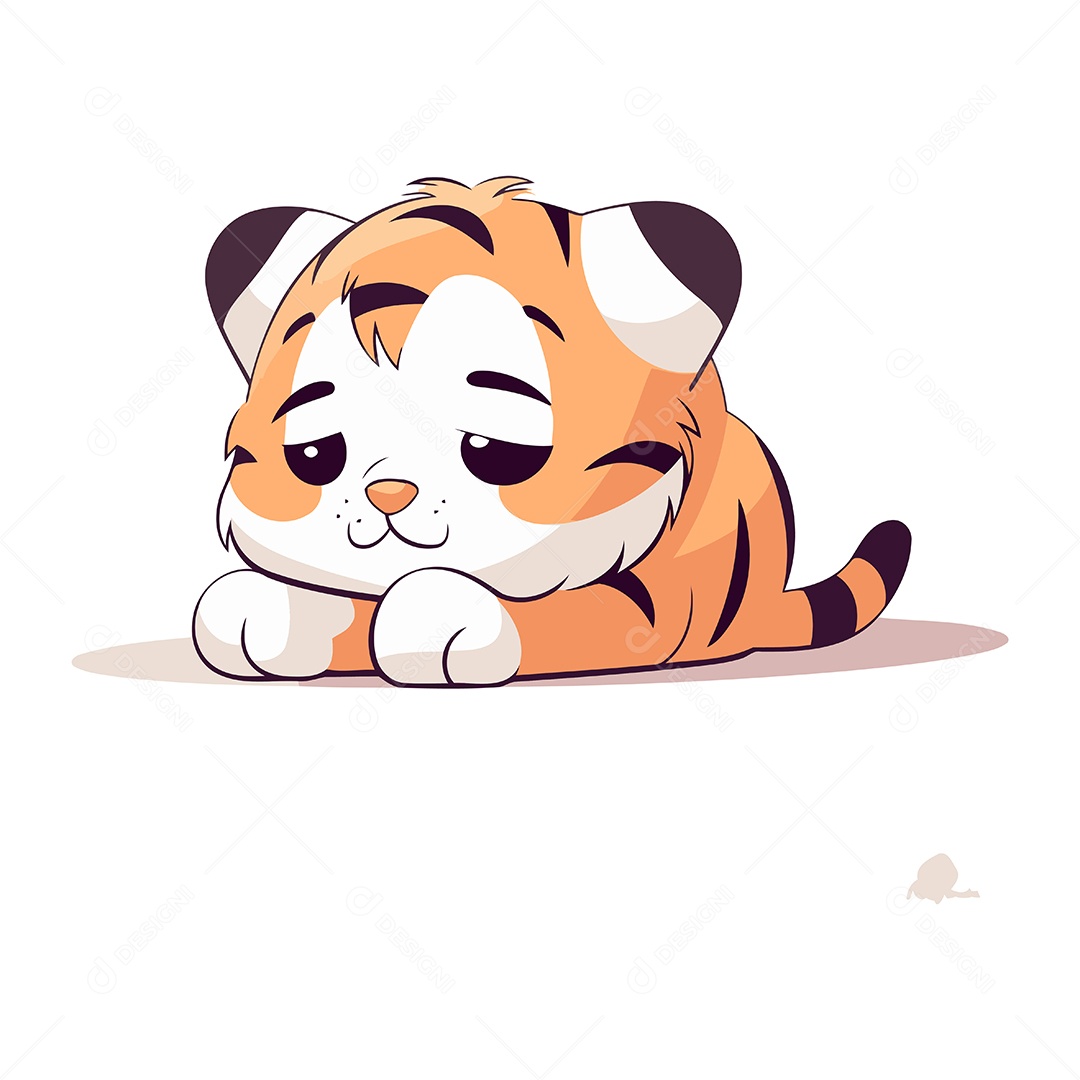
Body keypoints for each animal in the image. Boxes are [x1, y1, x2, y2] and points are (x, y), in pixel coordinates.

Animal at [193, 175, 911, 686]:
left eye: (493, 451)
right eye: (315, 454)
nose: (387, 493)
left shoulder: (648, 610)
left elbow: (542, 614)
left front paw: (442, 618)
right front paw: (260, 610)